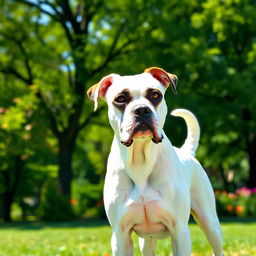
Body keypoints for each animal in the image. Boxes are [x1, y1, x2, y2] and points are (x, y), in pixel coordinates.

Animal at [87, 67, 222, 256]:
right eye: (120, 98)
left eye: (155, 94)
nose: (142, 110)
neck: (140, 161)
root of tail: (187, 152)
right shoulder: (120, 236)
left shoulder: (180, 231)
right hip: (146, 241)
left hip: (210, 224)